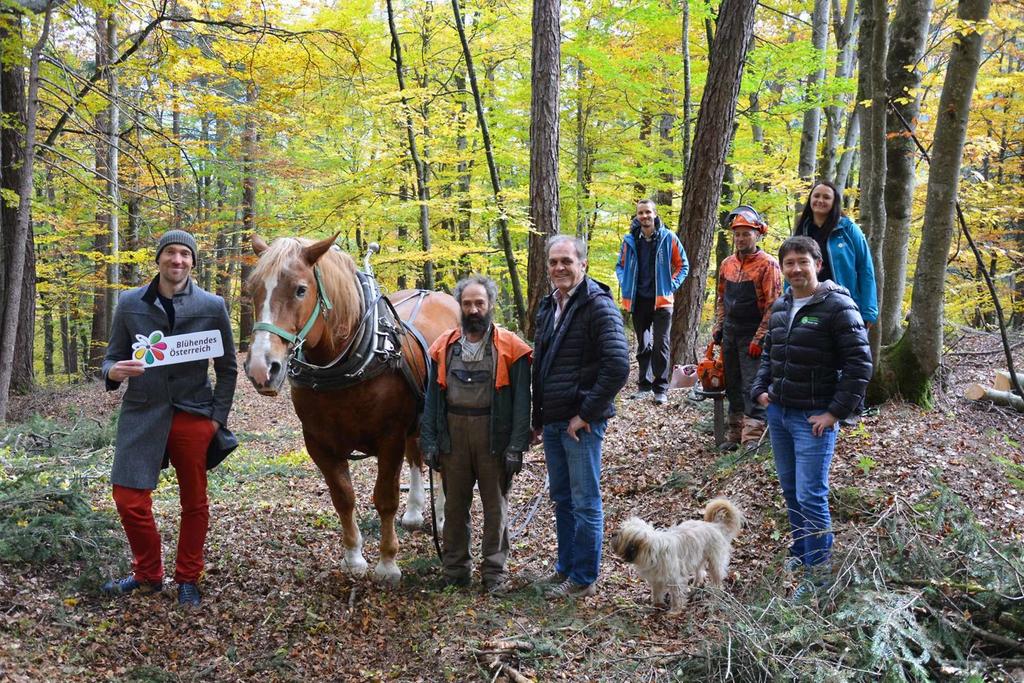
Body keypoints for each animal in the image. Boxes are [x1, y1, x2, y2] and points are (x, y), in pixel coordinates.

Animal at [242, 235, 456, 581]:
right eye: (253, 289)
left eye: (300, 289)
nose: (262, 368)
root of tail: (431, 293)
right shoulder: (318, 443)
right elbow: (343, 498)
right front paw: (353, 558)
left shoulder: (390, 438)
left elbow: (385, 498)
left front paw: (387, 563)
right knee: (417, 456)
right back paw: (413, 510)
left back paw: (443, 516)